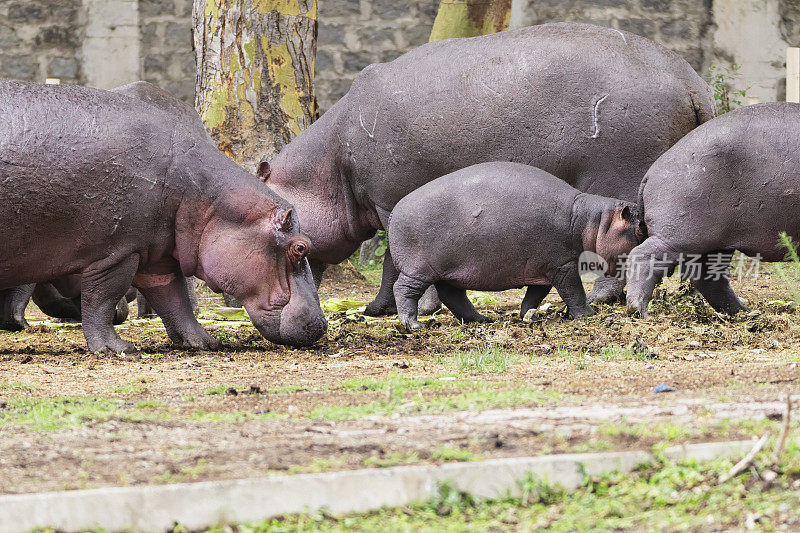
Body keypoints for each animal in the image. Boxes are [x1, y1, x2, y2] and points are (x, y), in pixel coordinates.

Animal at [0, 80, 326, 354]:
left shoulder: (156, 259)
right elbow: (101, 300)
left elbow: (175, 301)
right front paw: (117, 349)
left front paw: (205, 343)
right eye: (300, 247)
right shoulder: (117, 253)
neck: (207, 198)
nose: (321, 325)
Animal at [388, 162, 644, 328]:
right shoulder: (562, 265)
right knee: (403, 290)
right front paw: (588, 315)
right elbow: (574, 292)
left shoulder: (543, 269)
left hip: (446, 271)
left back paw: (482, 320)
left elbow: (535, 296)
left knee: (453, 295)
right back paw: (413, 325)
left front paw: (530, 317)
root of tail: (393, 212)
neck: (591, 221)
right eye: (640, 228)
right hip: (419, 270)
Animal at [624, 102, 800, 314]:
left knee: (709, 279)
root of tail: (651, 171)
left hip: (715, 242)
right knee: (643, 256)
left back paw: (745, 312)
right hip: (681, 236)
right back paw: (639, 310)